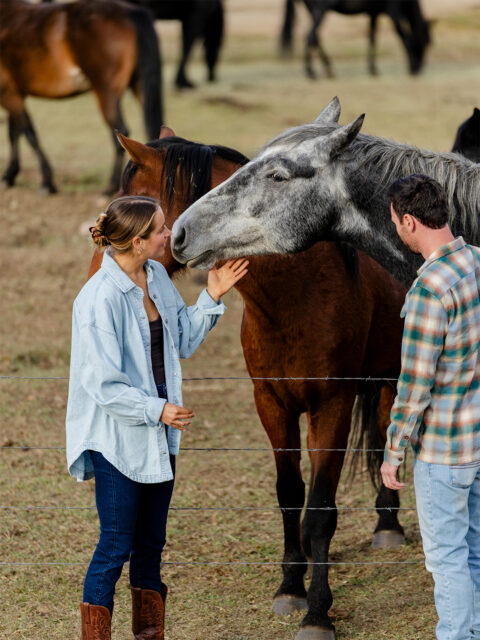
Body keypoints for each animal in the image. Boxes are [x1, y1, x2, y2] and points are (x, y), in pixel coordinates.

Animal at [0, 0, 163, 194]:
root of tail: (130, 12)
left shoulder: (7, 92)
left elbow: (28, 133)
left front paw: (46, 182)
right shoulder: (15, 93)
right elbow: (14, 133)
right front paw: (9, 176)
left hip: (106, 93)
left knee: (120, 133)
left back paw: (110, 186)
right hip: (139, 87)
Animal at [87, 123, 407, 640]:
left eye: (131, 204)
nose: (100, 269)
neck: (299, 295)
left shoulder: (331, 405)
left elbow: (321, 508)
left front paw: (318, 613)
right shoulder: (271, 403)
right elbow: (290, 494)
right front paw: (291, 587)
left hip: (389, 378)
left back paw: (388, 527)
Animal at [280, 0, 431, 78]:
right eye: (424, 44)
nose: (420, 67)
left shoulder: (373, 13)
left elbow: (372, 38)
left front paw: (373, 69)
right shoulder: (393, 10)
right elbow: (406, 39)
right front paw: (412, 67)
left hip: (312, 8)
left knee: (315, 37)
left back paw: (328, 70)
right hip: (321, 7)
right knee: (310, 36)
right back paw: (312, 72)